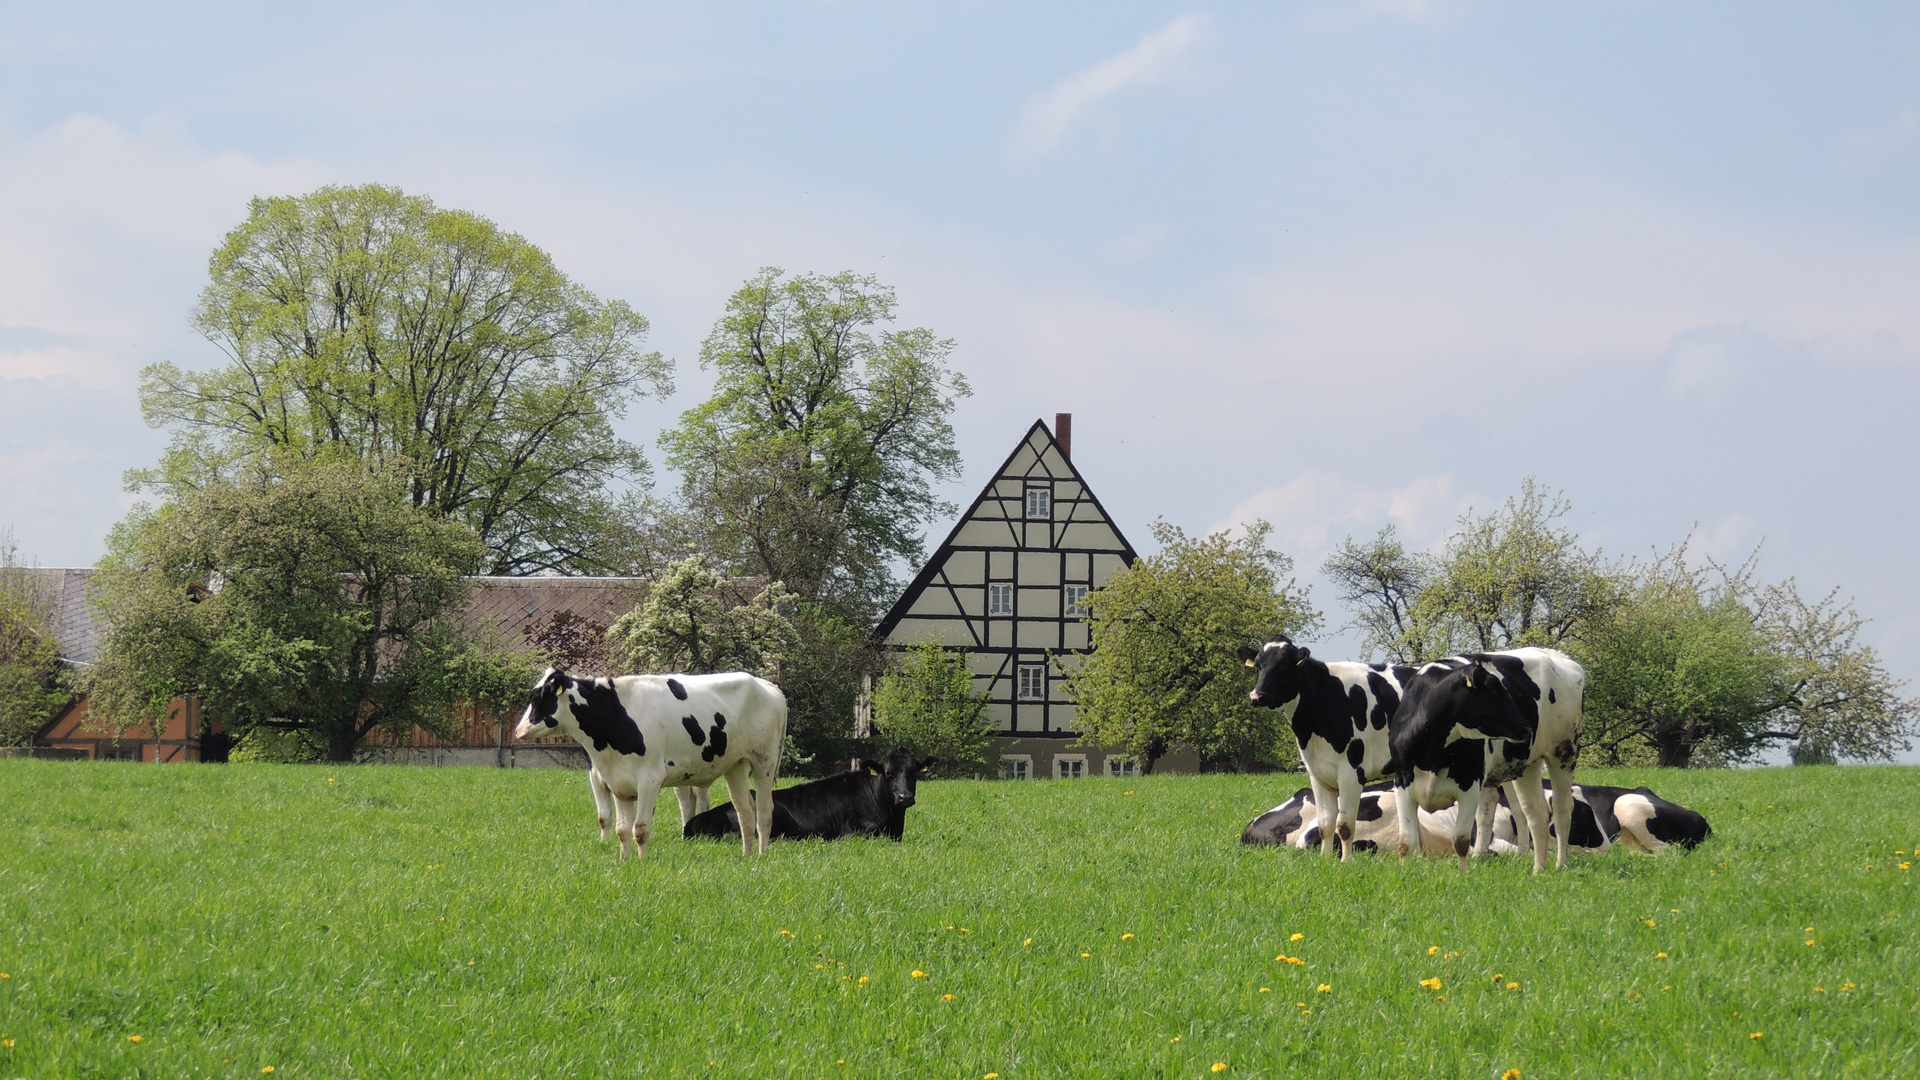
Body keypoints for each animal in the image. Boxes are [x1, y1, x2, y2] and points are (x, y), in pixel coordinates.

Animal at [510, 664, 787, 857]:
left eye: (538, 698)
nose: (518, 731)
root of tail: (768, 685)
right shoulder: (616, 781)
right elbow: (621, 829)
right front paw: (624, 861)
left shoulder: (650, 779)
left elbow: (640, 829)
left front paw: (642, 863)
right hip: (735, 765)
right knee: (745, 812)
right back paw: (746, 855)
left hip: (764, 762)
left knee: (764, 812)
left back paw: (761, 856)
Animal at [1236, 638, 1420, 857]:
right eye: (1258, 666)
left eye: (1283, 664)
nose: (1256, 696)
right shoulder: (1317, 774)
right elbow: (1325, 823)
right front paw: (1324, 859)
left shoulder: (1351, 773)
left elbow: (1345, 825)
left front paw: (1345, 861)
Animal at [1390, 645, 1582, 864]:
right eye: (1494, 691)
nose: (1526, 727)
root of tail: (1558, 654)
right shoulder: (1402, 784)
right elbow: (1406, 842)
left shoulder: (1469, 785)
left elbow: (1461, 840)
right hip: (1528, 763)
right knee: (1536, 812)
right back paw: (1539, 868)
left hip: (1565, 752)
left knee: (1562, 809)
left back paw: (1560, 864)